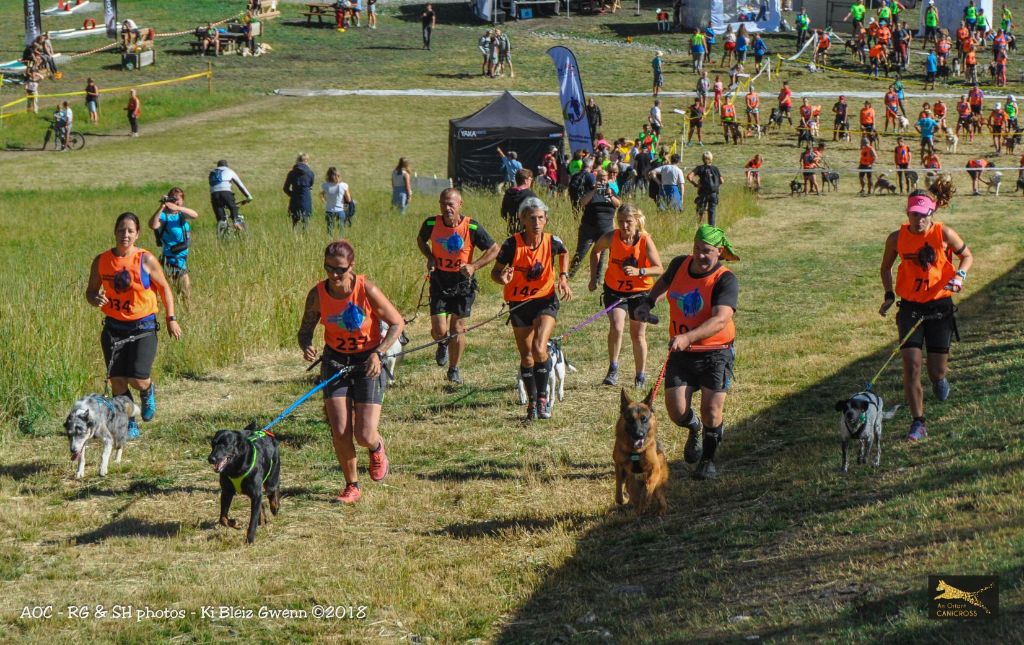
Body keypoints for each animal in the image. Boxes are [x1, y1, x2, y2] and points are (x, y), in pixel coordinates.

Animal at [610, 389, 667, 520]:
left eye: (644, 419)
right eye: (630, 420)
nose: (639, 435)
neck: (634, 451)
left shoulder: (654, 468)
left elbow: (648, 487)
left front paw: (645, 501)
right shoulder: (619, 467)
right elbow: (618, 493)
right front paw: (624, 499)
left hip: (659, 483)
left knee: (662, 499)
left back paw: (659, 511)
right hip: (631, 484)